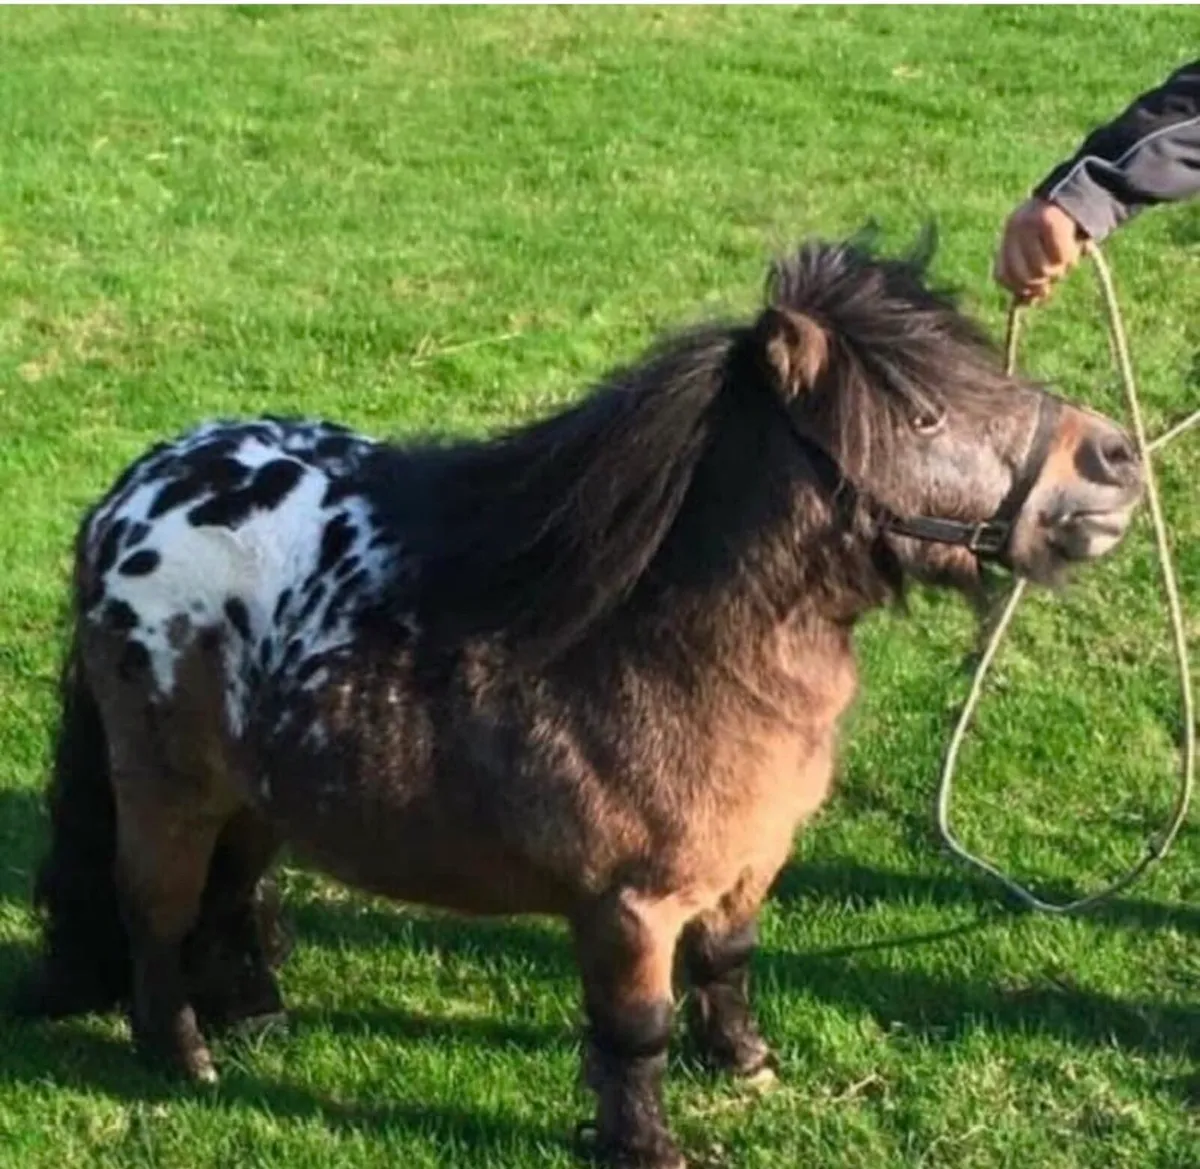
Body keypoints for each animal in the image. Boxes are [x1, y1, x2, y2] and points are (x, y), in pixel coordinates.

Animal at [13, 234, 1143, 1168]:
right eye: (923, 413)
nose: (1118, 458)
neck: (670, 641)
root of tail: (126, 500)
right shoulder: (627, 905)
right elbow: (632, 1032)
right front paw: (646, 1144)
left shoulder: (748, 862)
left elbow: (729, 959)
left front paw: (744, 1061)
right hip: (167, 789)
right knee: (156, 909)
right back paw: (181, 1050)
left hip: (256, 791)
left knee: (231, 891)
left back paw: (254, 1013)